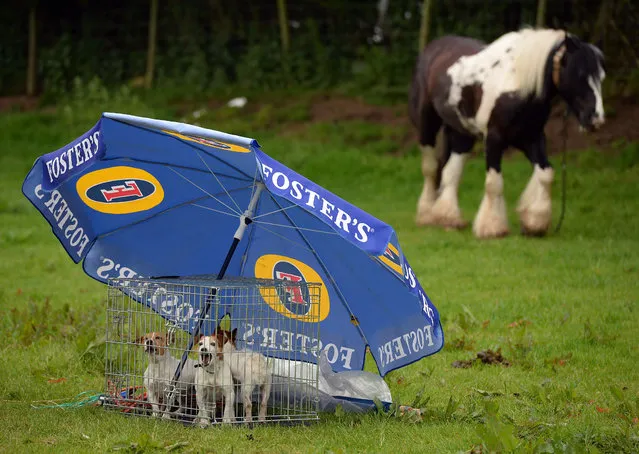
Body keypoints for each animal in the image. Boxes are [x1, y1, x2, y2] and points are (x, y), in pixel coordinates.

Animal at [410, 28, 604, 239]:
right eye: (579, 73)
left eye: (601, 77)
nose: (596, 118)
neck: (517, 83)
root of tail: (433, 48)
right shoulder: (494, 139)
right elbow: (494, 183)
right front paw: (492, 227)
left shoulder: (531, 138)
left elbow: (546, 174)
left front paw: (534, 222)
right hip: (427, 124)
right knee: (430, 168)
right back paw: (426, 214)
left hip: (463, 133)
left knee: (451, 171)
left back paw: (448, 217)